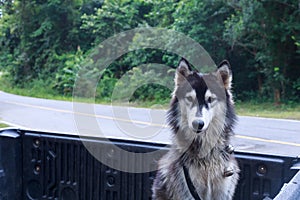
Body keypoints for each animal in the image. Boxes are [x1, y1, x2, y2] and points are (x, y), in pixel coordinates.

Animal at [152, 58, 239, 199]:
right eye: (189, 98)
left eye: (210, 99)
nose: (197, 123)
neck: (205, 155)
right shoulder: (188, 188)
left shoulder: (222, 190)